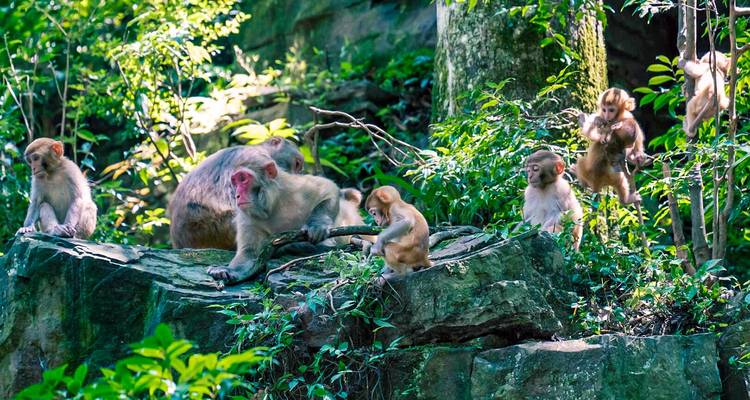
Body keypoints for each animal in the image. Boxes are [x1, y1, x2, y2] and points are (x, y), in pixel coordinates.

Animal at [207, 160, 341, 283]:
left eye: (243, 179)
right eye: (235, 181)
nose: (237, 195)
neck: (272, 206)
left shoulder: (296, 189)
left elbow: (329, 188)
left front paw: (317, 224)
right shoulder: (246, 217)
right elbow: (251, 255)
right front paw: (229, 270)